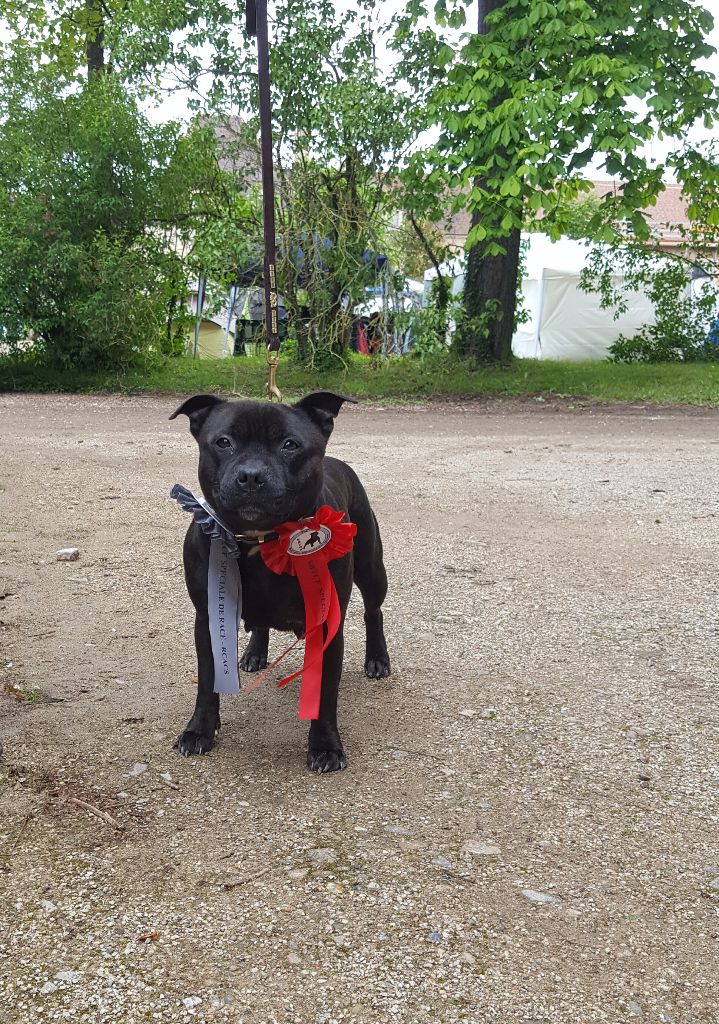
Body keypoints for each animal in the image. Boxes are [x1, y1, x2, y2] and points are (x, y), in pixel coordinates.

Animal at [168, 395, 391, 770]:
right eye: (223, 442)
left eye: (290, 445)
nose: (251, 475)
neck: (260, 539)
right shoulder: (209, 617)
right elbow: (207, 681)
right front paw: (200, 730)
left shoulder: (328, 624)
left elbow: (325, 692)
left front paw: (326, 746)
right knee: (261, 624)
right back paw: (255, 653)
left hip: (372, 569)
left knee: (374, 610)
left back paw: (378, 658)